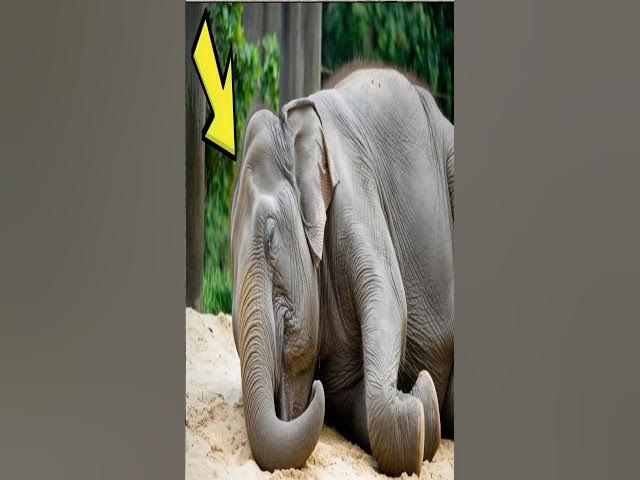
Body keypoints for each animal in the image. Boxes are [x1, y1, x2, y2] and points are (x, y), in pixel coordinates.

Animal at [230, 66, 454, 476]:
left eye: (270, 239)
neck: (291, 129)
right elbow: (348, 394)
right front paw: (425, 403)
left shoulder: (352, 189)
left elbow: (391, 301)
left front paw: (420, 397)